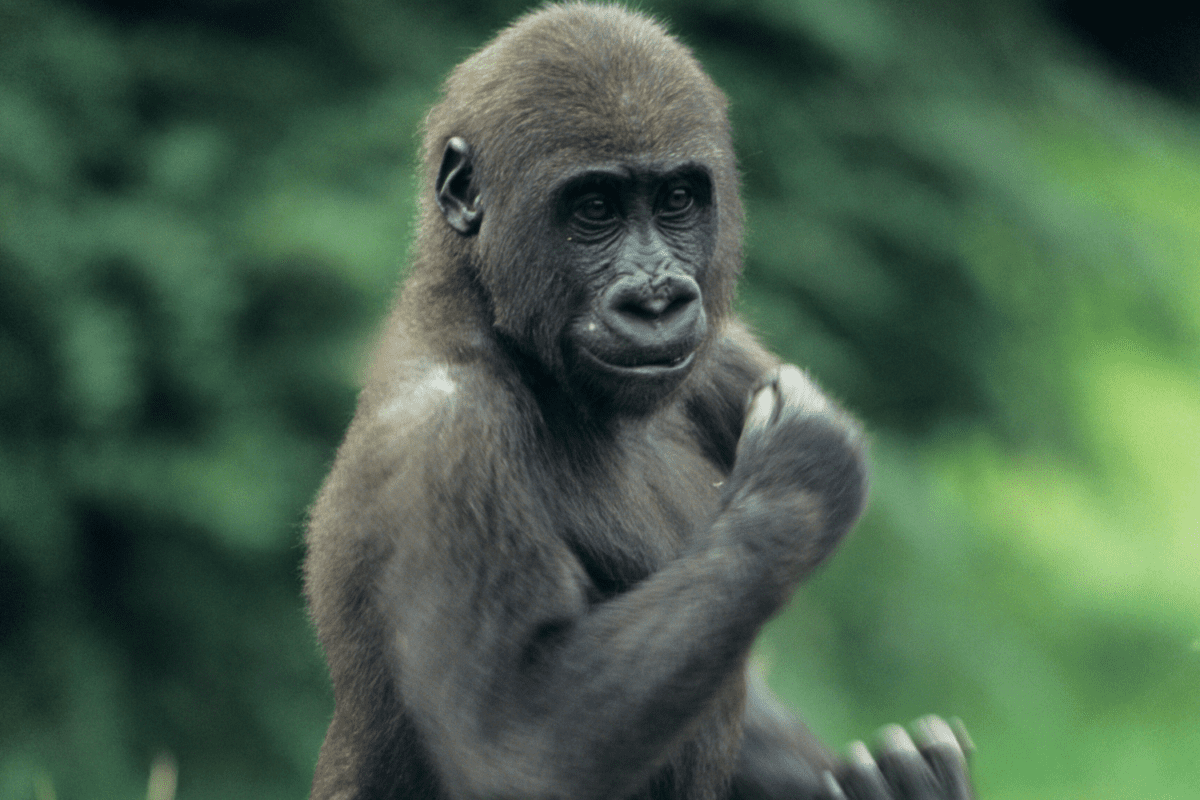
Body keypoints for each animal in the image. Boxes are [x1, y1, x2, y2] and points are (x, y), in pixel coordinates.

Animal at [302, 4, 974, 800]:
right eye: (595, 209)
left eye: (677, 200)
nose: (656, 300)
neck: (485, 310)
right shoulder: (443, 435)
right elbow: (521, 736)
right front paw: (799, 488)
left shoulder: (723, 353)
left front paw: (894, 780)